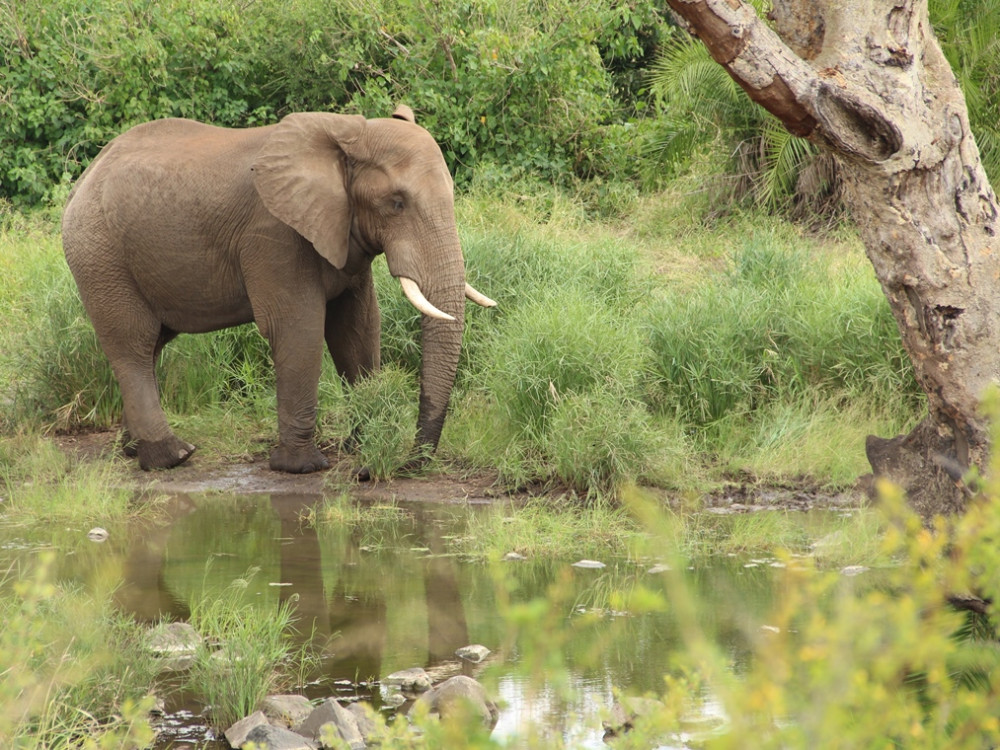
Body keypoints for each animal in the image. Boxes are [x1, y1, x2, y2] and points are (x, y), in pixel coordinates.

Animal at [62, 106, 496, 476]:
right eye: (396, 203)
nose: (375, 472)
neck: (346, 133)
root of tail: (84, 178)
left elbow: (357, 327)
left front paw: (362, 444)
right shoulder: (273, 235)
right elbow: (299, 327)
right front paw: (303, 467)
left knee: (153, 344)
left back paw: (131, 450)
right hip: (100, 256)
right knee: (133, 343)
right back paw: (171, 457)